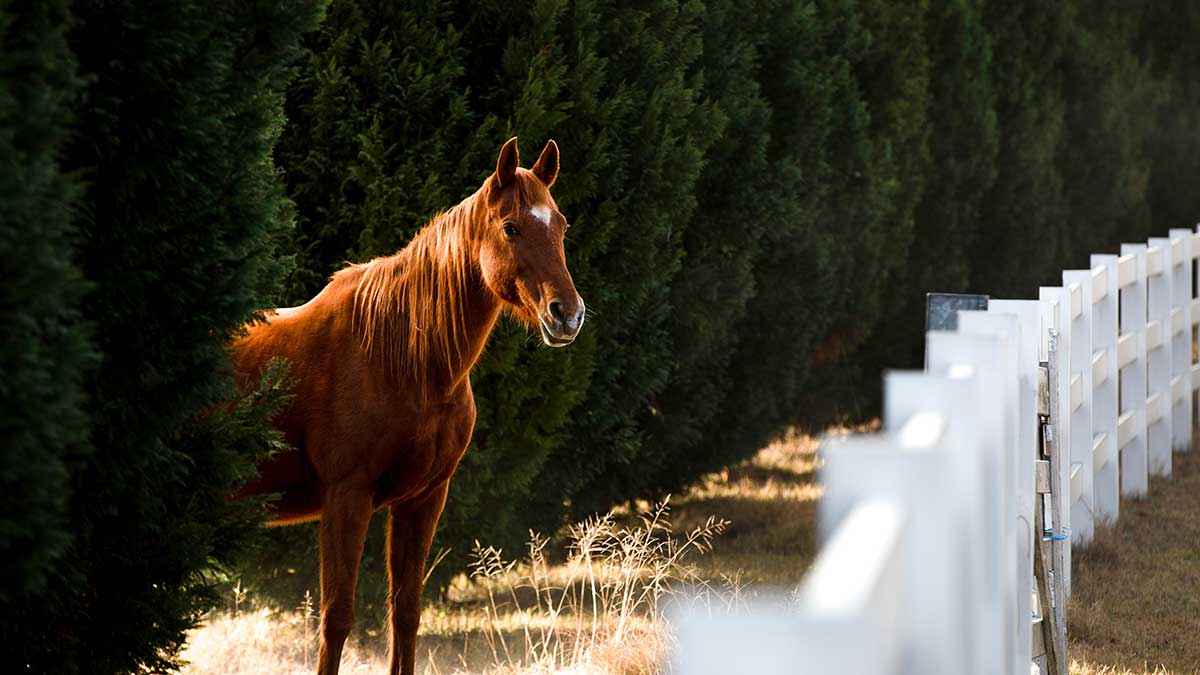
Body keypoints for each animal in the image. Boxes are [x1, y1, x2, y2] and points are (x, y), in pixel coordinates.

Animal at [231, 138, 583, 672]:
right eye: (511, 227)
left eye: (561, 225)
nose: (568, 315)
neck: (400, 359)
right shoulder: (346, 499)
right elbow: (336, 619)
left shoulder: (422, 500)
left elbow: (406, 611)